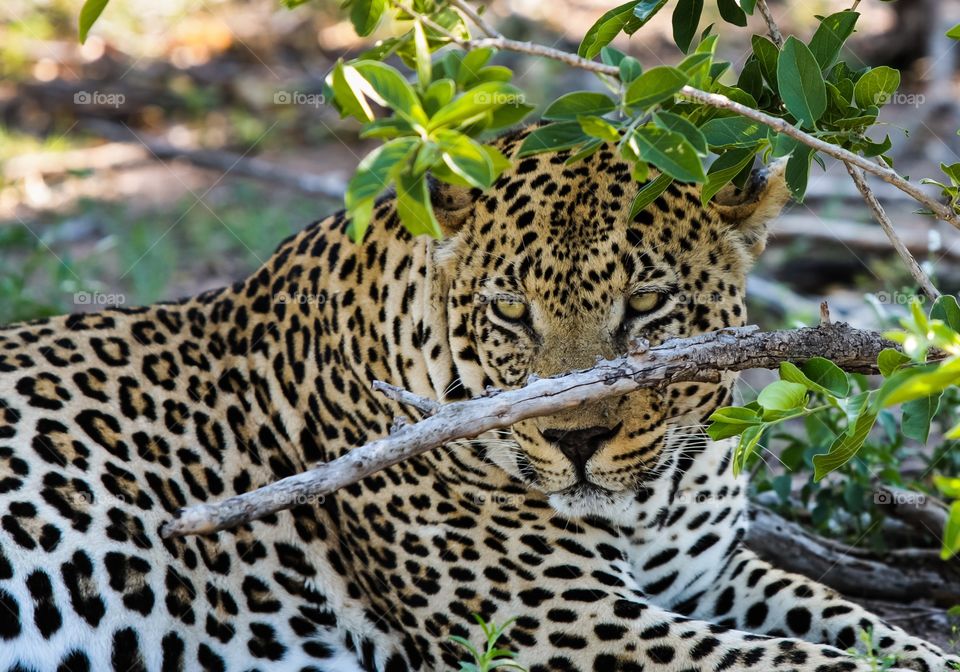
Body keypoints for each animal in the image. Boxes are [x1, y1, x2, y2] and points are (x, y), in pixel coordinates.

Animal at [0, 126, 957, 672]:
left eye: (648, 304)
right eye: (509, 311)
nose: (576, 441)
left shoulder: (712, 571)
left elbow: (848, 620)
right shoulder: (565, 623)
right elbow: (797, 660)